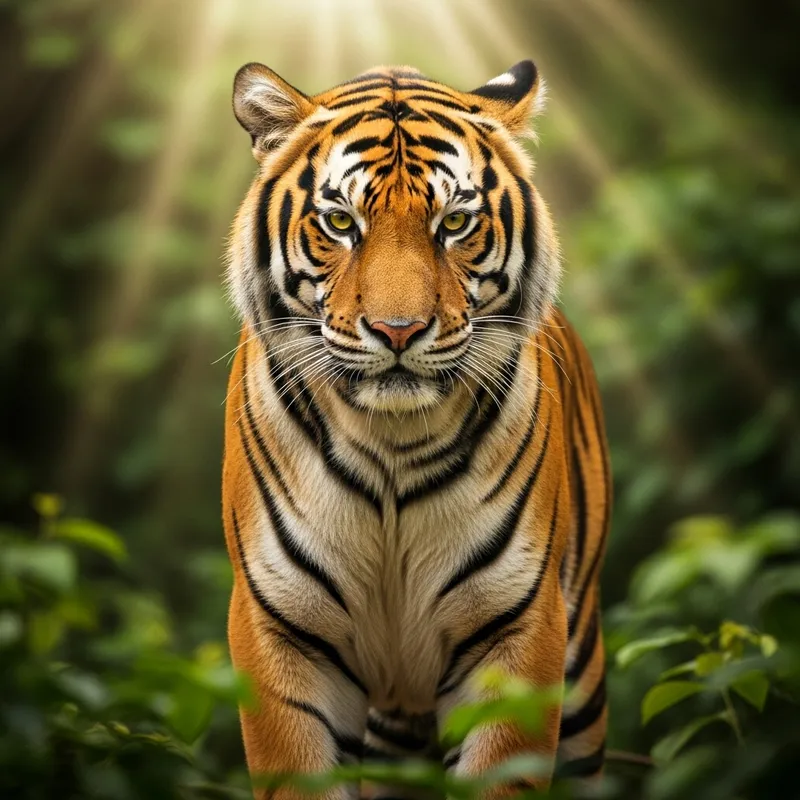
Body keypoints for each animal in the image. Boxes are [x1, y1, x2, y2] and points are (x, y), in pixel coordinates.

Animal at [222, 58, 611, 800]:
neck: (391, 444)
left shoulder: (520, 633)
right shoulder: (278, 630)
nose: (398, 331)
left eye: (454, 221)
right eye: (339, 221)